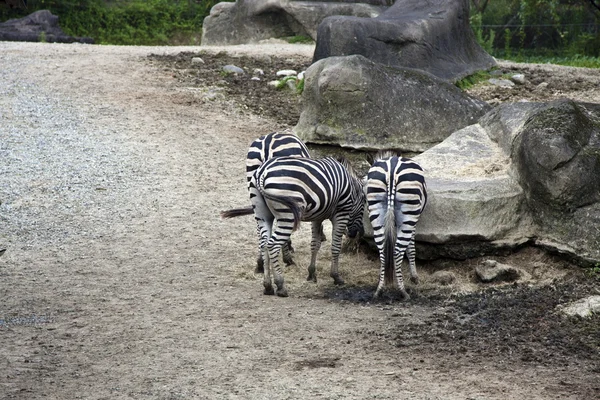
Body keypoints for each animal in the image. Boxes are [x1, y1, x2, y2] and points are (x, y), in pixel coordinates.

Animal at [223, 156, 366, 296]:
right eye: (364, 204)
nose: (357, 234)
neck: (351, 188)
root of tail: (262, 173)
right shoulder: (341, 212)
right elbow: (336, 246)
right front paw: (336, 277)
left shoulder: (318, 216)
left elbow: (315, 244)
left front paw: (311, 273)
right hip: (287, 215)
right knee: (272, 245)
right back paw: (280, 285)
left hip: (262, 213)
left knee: (263, 245)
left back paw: (268, 286)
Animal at [366, 152, 426, 298]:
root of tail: (391, 172)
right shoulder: (411, 222)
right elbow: (411, 248)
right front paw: (414, 277)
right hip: (409, 212)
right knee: (398, 250)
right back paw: (403, 291)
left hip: (376, 206)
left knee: (382, 248)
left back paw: (379, 289)